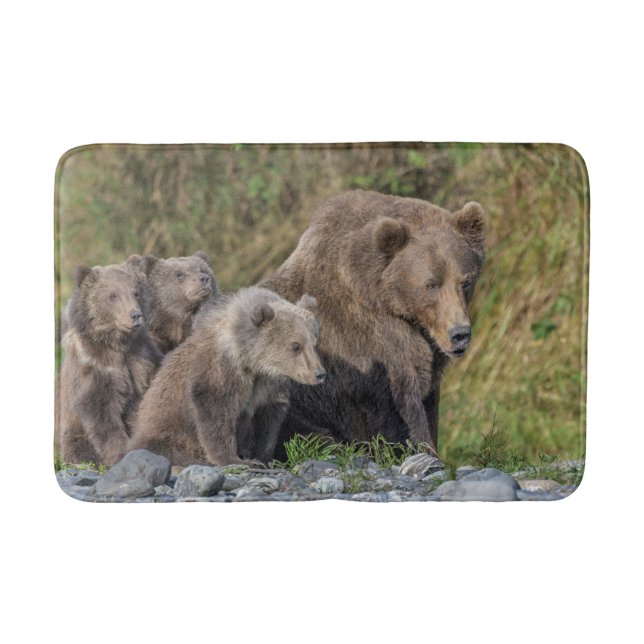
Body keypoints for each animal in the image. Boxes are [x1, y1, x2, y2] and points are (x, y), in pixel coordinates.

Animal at [56, 263, 163, 466]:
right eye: (113, 295)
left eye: (136, 292)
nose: (135, 315)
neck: (117, 343)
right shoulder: (94, 366)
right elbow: (100, 409)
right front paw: (121, 453)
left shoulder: (141, 357)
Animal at [127, 286, 325, 466]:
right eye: (296, 346)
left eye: (314, 342)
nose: (320, 373)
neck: (251, 361)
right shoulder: (221, 368)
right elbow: (216, 410)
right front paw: (234, 459)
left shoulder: (267, 385)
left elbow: (267, 419)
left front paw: (263, 458)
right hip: (166, 431)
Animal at [260, 189, 486, 457]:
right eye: (431, 284)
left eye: (466, 281)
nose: (459, 333)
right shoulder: (368, 341)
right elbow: (399, 405)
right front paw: (422, 449)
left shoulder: (430, 349)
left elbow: (429, 398)